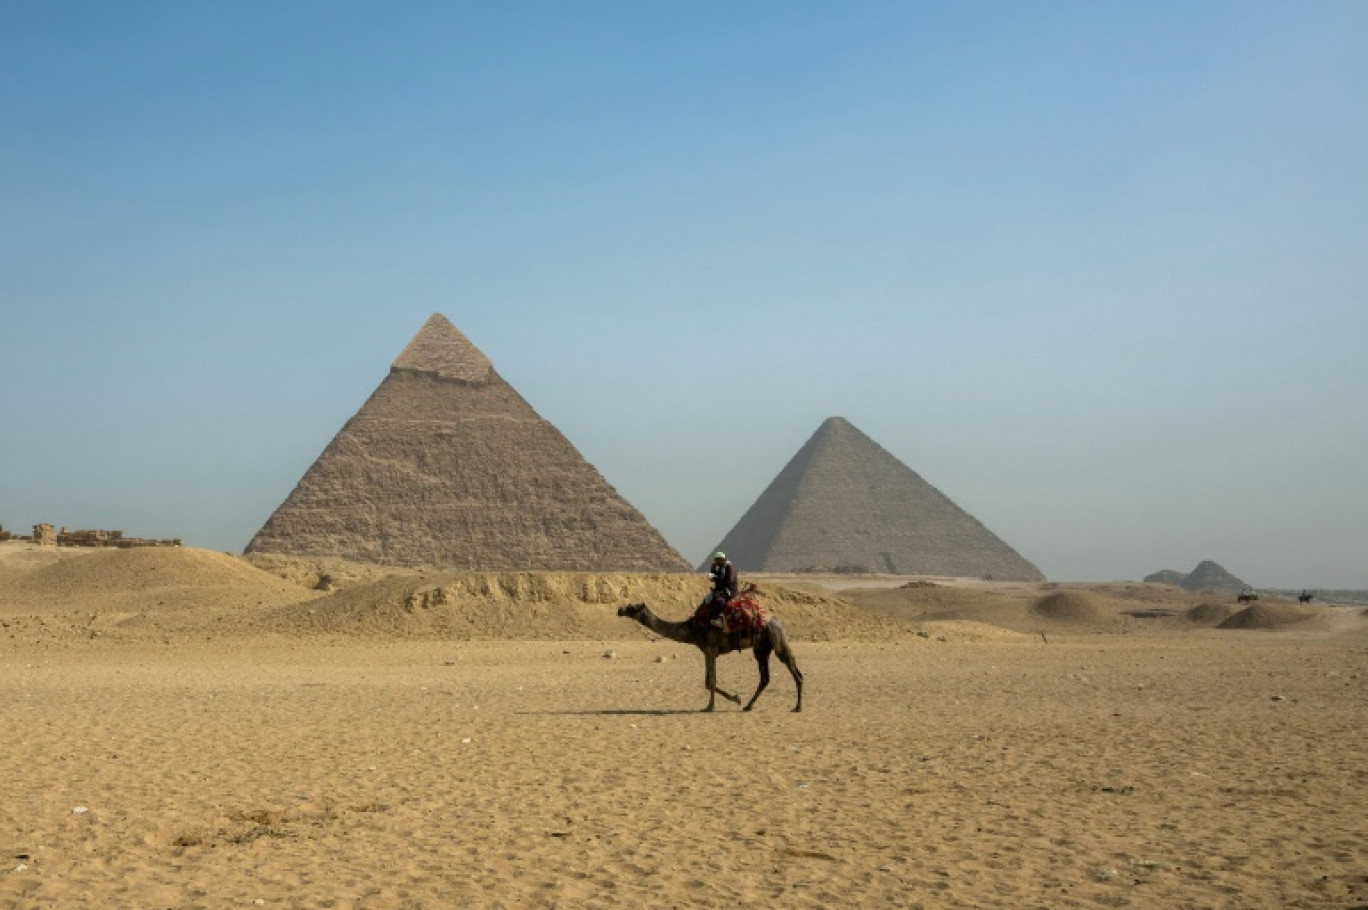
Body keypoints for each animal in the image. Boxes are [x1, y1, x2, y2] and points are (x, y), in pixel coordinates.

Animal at [618, 599, 798, 711]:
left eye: (632, 607)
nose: (619, 610)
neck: (691, 628)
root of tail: (779, 623)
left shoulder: (710, 650)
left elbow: (711, 681)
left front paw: (711, 707)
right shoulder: (707, 651)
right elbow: (707, 682)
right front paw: (736, 698)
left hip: (775, 639)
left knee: (790, 665)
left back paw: (797, 707)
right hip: (762, 647)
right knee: (766, 677)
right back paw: (749, 706)